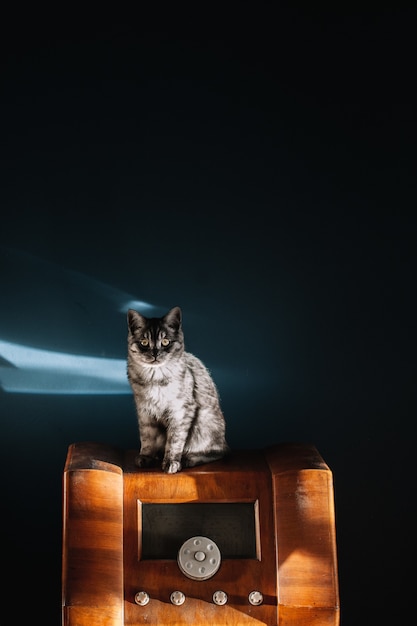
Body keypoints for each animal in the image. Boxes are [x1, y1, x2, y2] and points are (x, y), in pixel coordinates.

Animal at [127, 304, 231, 470]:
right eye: (144, 342)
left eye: (165, 342)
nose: (155, 354)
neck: (155, 378)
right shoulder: (144, 411)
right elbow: (147, 437)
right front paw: (146, 457)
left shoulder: (180, 411)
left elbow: (175, 440)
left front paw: (171, 462)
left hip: (203, 423)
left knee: (219, 451)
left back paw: (189, 459)